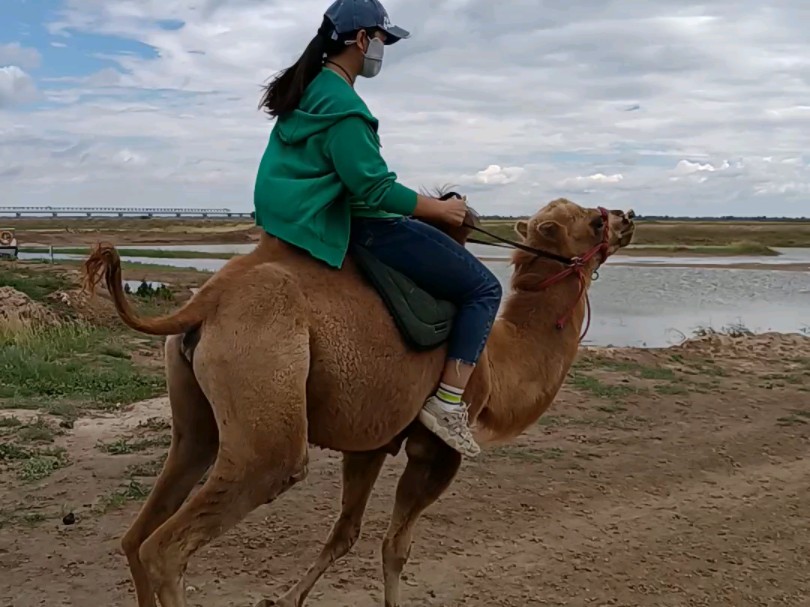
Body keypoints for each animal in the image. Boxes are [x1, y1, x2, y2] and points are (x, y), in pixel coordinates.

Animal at [83, 196, 636, 607]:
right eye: (592, 221)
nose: (627, 216)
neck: (500, 360)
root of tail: (206, 299)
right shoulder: (434, 448)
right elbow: (396, 546)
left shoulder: (372, 442)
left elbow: (345, 533)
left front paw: (286, 599)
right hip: (265, 385)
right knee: (170, 545)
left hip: (196, 413)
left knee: (140, 529)